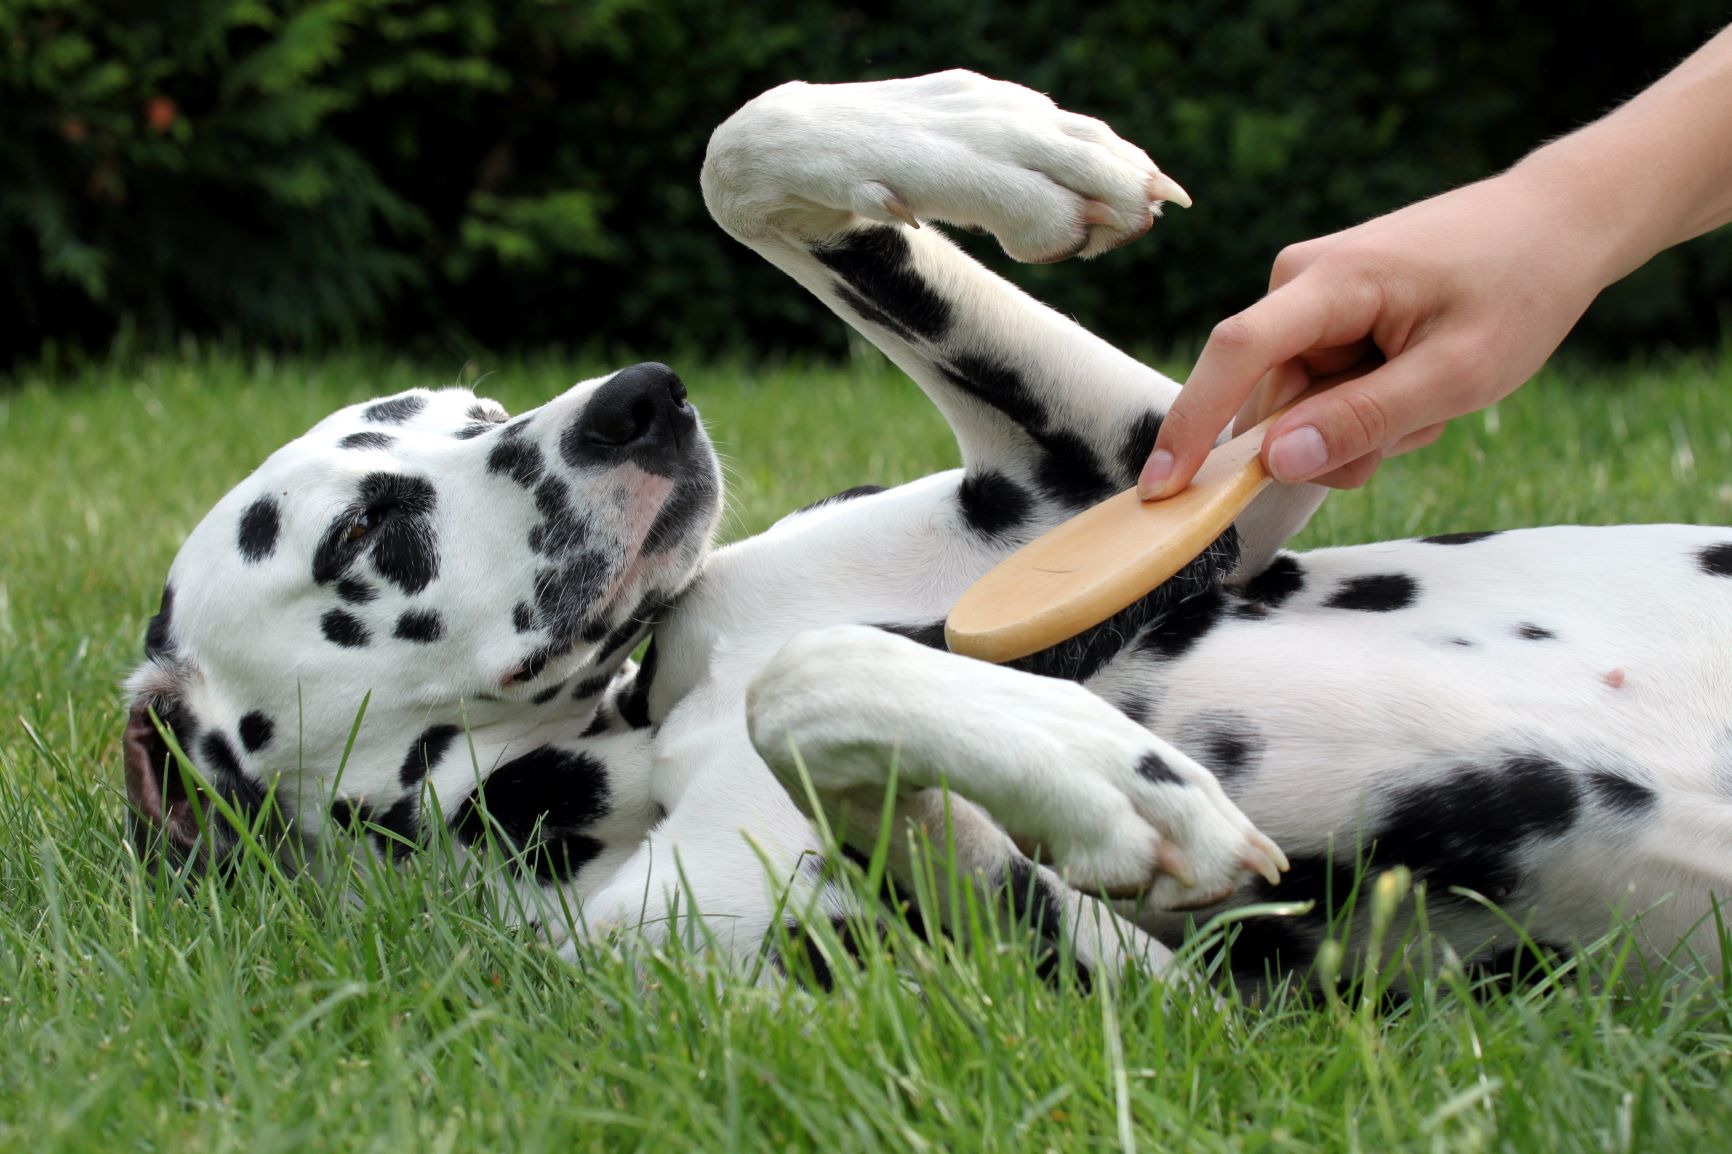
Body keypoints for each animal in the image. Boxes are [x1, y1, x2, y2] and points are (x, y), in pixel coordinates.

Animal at [125, 71, 1732, 984]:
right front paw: (1107, 772)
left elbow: (742, 141)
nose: (638, 401)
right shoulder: (1154, 1000)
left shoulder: (1122, 469)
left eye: (471, 405)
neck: (630, 747)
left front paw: (1005, 141)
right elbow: (814, 687)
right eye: (362, 532)